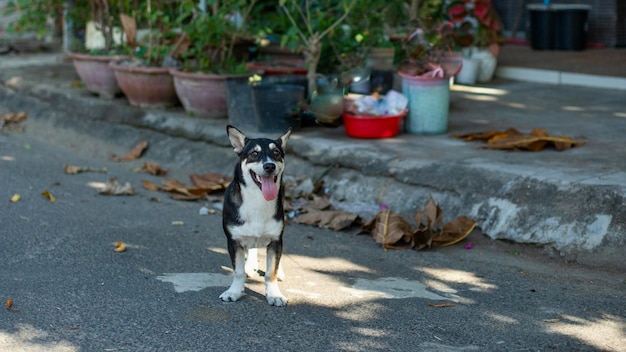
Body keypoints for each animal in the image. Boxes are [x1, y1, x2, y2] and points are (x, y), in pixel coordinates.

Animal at [219, 126, 290, 306]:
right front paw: (234, 292)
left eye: (276, 152)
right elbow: (238, 272)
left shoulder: (276, 241)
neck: (258, 199)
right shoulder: (234, 242)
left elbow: (271, 272)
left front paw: (274, 294)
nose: (269, 166)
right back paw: (250, 265)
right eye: (254, 153)